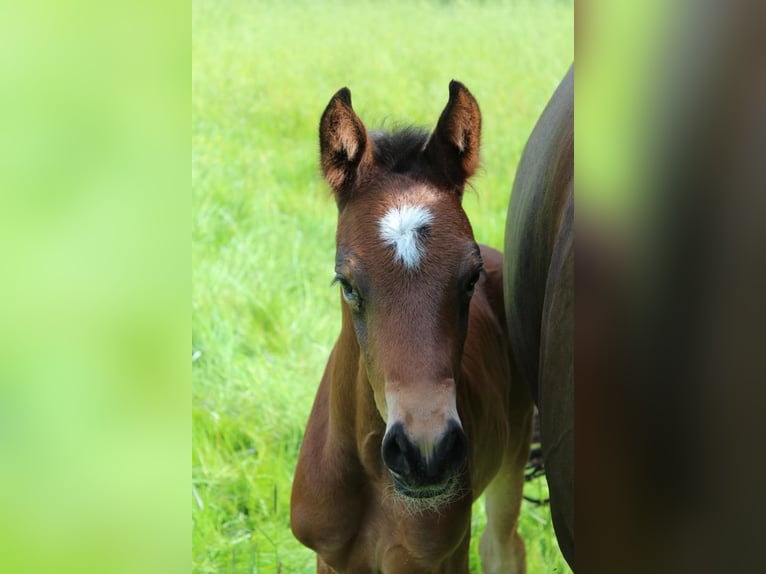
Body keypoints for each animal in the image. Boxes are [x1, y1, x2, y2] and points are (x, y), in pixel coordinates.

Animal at [292, 82, 536, 574]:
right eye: (346, 283)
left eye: (471, 279)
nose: (426, 453)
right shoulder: (330, 556)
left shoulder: (440, 555)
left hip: (514, 451)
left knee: (503, 547)